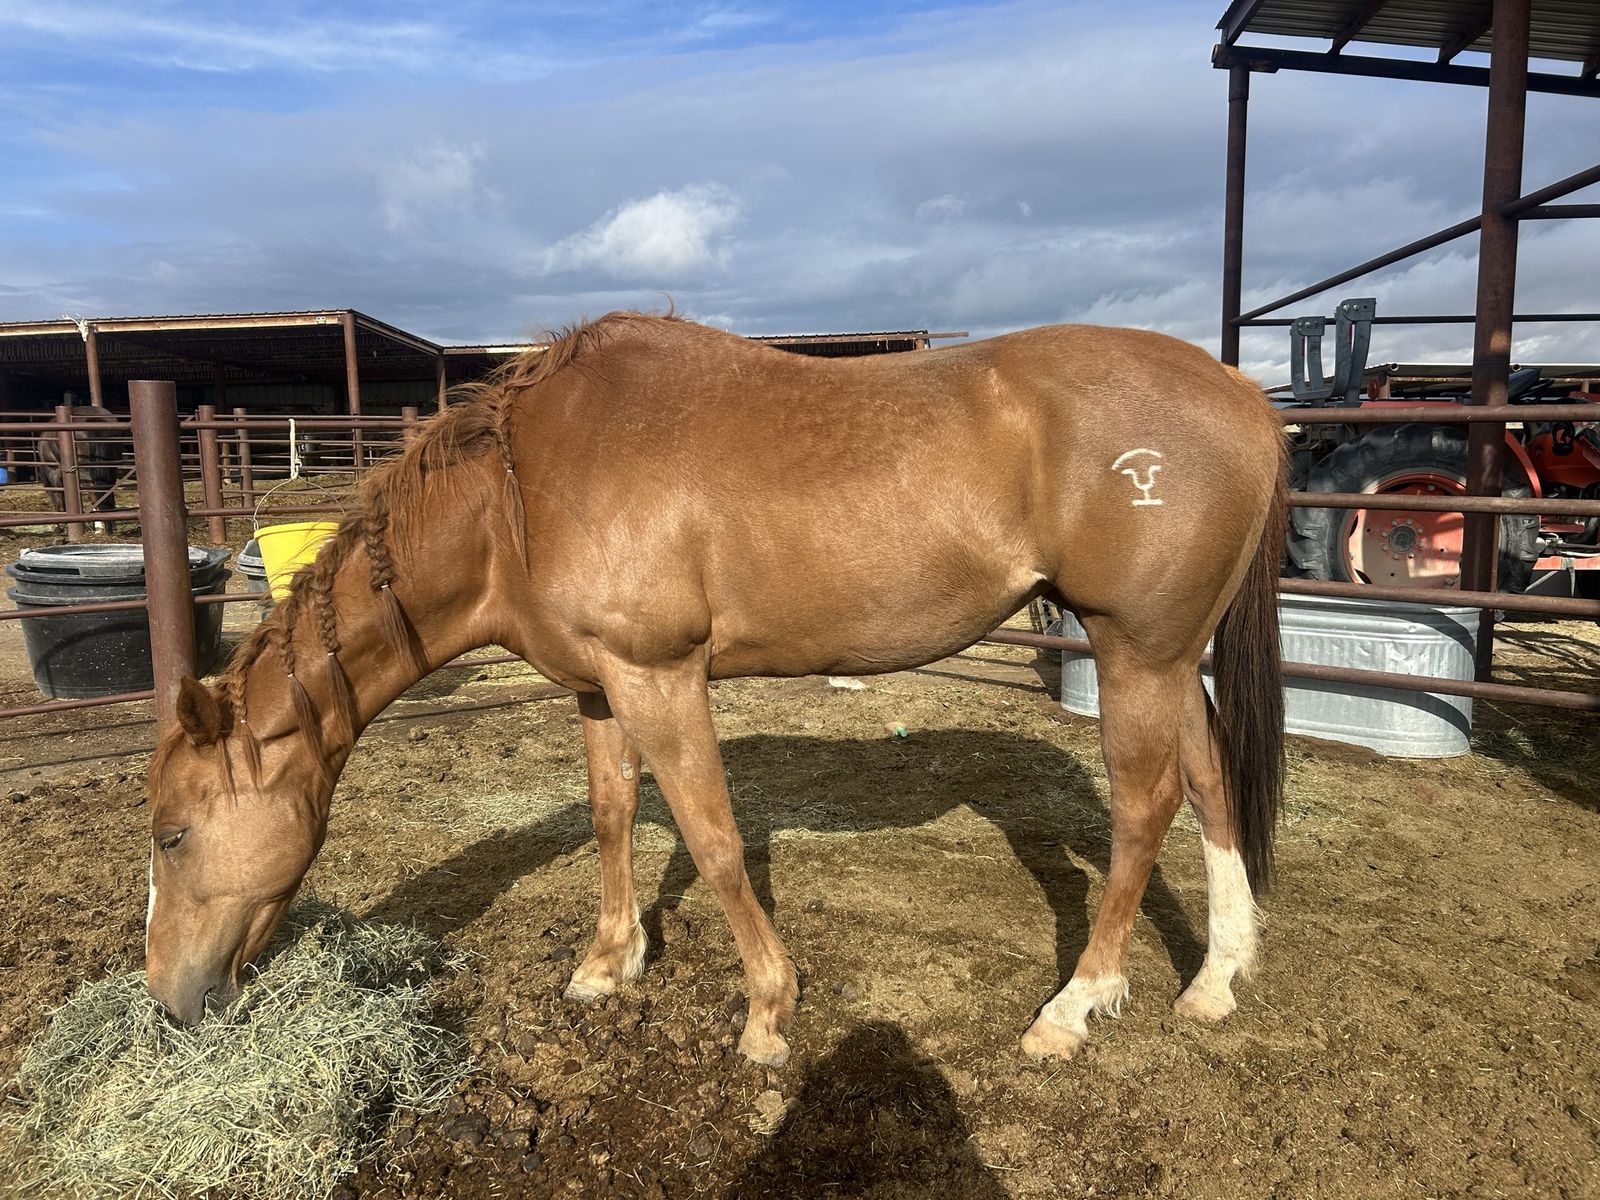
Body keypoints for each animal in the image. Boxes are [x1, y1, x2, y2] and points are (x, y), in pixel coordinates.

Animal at [37, 404, 124, 534]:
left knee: (94, 495)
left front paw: (60, 527)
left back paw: (102, 527)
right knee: (106, 492)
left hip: (85, 473)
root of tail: (94, 420)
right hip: (111, 467)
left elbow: (60, 499)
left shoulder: (54, 473)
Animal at [145, 312, 1287, 1065]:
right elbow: (613, 817)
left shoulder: (659, 677)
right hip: (1167, 657)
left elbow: (713, 839)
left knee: (1143, 810)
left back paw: (1074, 1006)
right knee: (1210, 790)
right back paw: (1216, 982)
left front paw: (769, 1013)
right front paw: (608, 963)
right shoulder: (600, 686)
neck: (519, 494)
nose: (168, 1000)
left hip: (1136, 652)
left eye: (170, 834)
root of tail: (1243, 396)